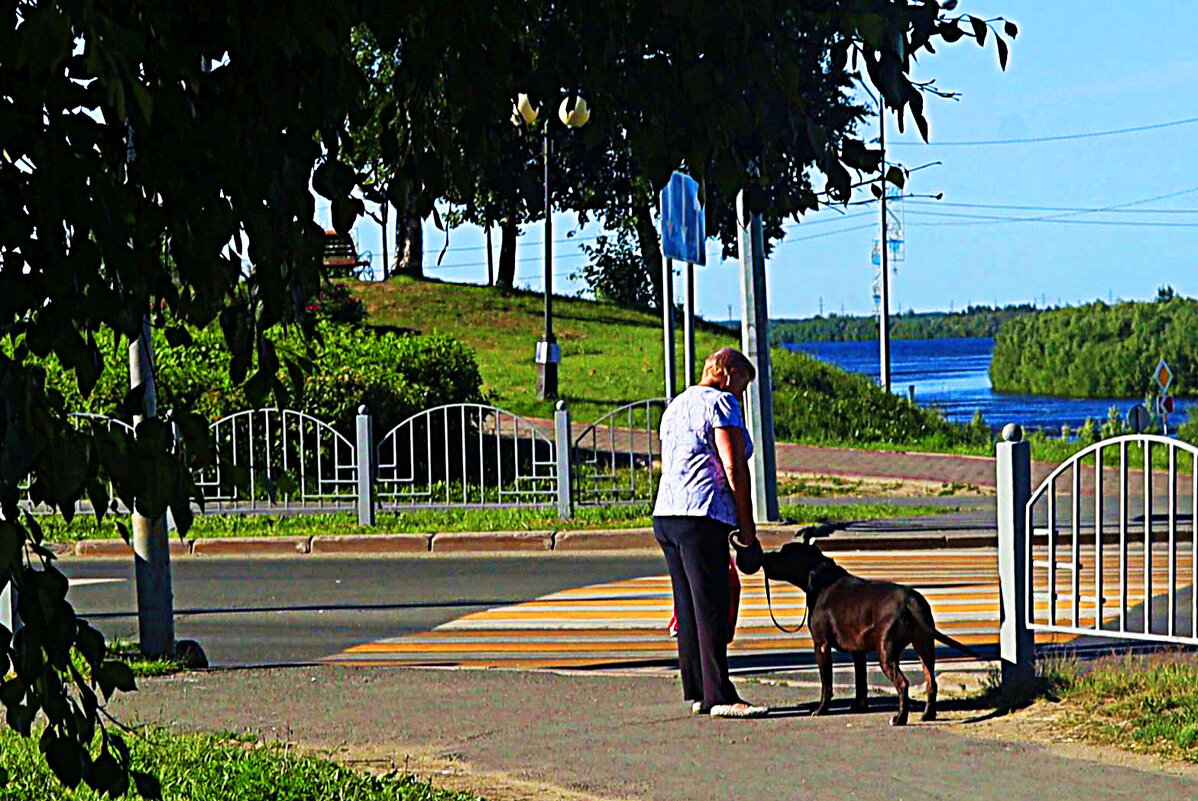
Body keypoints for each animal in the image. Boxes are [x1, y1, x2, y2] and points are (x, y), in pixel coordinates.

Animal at [761, 536, 977, 723]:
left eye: (784, 552)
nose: (765, 556)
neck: (819, 577)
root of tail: (910, 600)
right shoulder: (858, 652)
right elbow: (861, 682)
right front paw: (859, 707)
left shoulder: (821, 646)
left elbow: (826, 684)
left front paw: (821, 710)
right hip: (925, 647)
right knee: (931, 682)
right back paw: (927, 715)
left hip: (886, 653)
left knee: (903, 684)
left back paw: (900, 718)